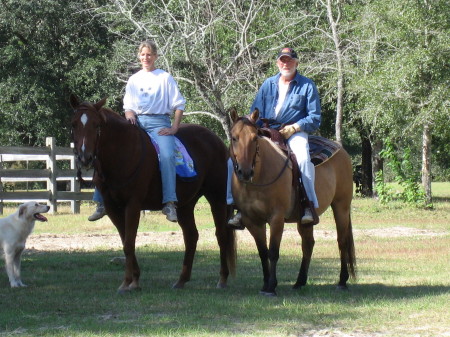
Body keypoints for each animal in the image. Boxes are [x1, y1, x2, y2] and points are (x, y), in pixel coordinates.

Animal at [70, 94, 236, 292]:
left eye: (97, 125)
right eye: (74, 124)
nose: (85, 158)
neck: (124, 152)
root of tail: (218, 141)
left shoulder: (133, 205)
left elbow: (128, 243)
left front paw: (129, 282)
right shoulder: (111, 207)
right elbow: (126, 241)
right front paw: (132, 280)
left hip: (217, 197)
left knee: (222, 235)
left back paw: (223, 279)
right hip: (186, 204)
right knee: (191, 236)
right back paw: (181, 280)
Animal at [230, 109, 356, 296]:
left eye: (254, 138)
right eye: (234, 138)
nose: (245, 172)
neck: (260, 176)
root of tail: (341, 151)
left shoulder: (276, 217)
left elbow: (273, 252)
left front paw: (271, 287)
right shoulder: (252, 220)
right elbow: (262, 252)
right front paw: (265, 284)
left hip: (341, 206)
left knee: (342, 241)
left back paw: (342, 281)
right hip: (305, 219)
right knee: (308, 244)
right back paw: (299, 282)